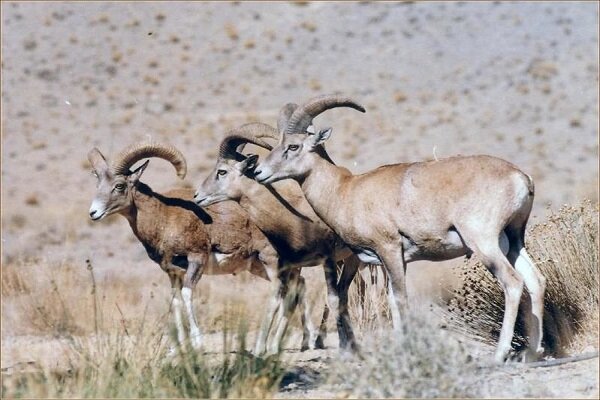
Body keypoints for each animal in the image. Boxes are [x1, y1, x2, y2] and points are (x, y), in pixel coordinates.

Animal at [255, 94, 548, 362]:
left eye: (293, 146)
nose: (258, 172)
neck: (346, 190)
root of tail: (521, 177)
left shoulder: (389, 249)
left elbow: (401, 299)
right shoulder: (388, 260)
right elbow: (393, 302)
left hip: (485, 244)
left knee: (513, 282)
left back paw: (499, 355)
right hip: (513, 241)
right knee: (535, 280)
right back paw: (533, 353)